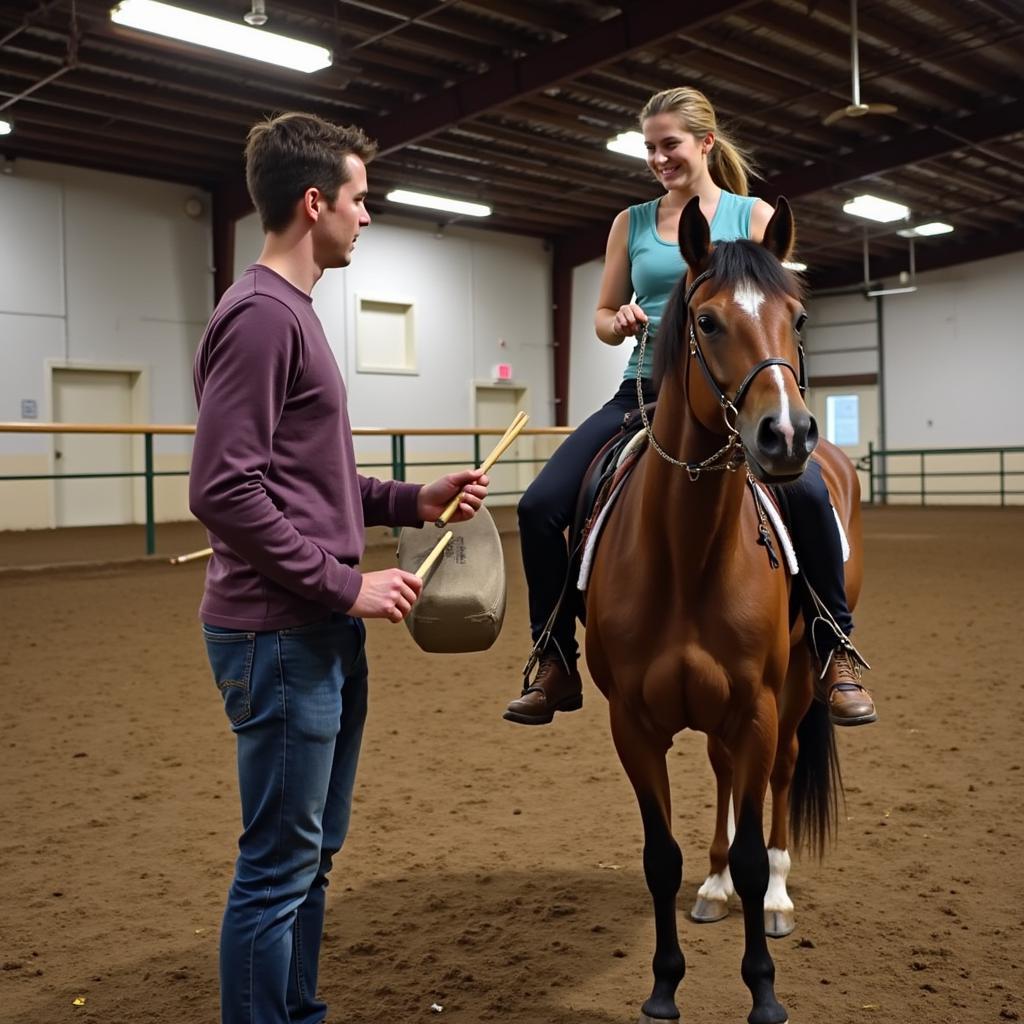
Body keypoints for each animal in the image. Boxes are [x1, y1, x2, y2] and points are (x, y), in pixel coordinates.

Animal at [585, 195, 856, 1024]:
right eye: (706, 321)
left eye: (798, 317)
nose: (787, 434)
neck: (688, 552)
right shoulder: (633, 723)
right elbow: (659, 854)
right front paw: (664, 986)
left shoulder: (759, 707)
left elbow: (752, 843)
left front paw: (764, 990)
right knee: (724, 776)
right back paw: (713, 887)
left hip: (796, 690)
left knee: (778, 777)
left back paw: (775, 897)